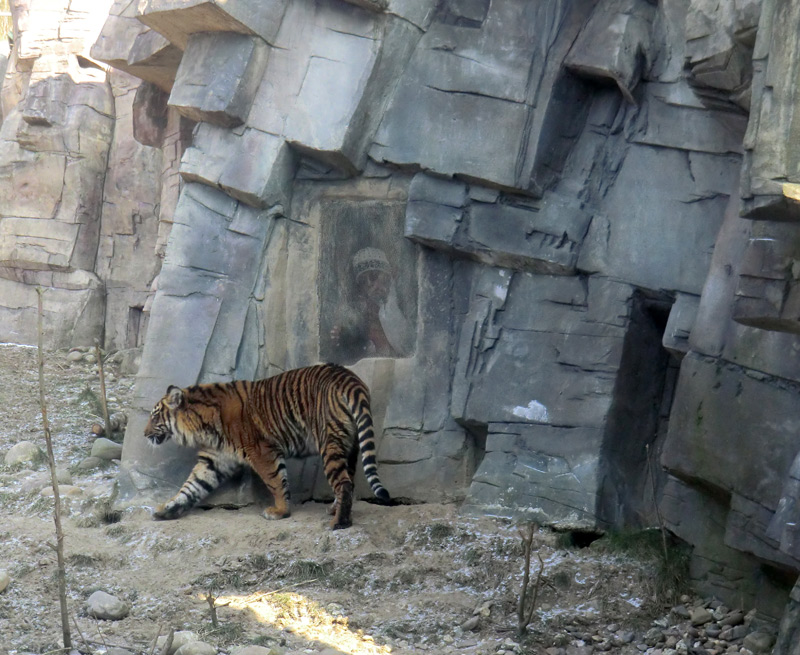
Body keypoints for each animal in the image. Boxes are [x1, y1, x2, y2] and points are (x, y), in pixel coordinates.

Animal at [147, 362, 394, 532]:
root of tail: (349, 378)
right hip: (350, 447)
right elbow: (190, 487)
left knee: (343, 483)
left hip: (330, 443)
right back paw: (335, 511)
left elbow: (276, 482)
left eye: (155, 416)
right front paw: (166, 509)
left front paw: (280, 511)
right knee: (349, 481)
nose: (144, 434)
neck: (202, 425)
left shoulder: (262, 452)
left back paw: (338, 522)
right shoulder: (214, 460)